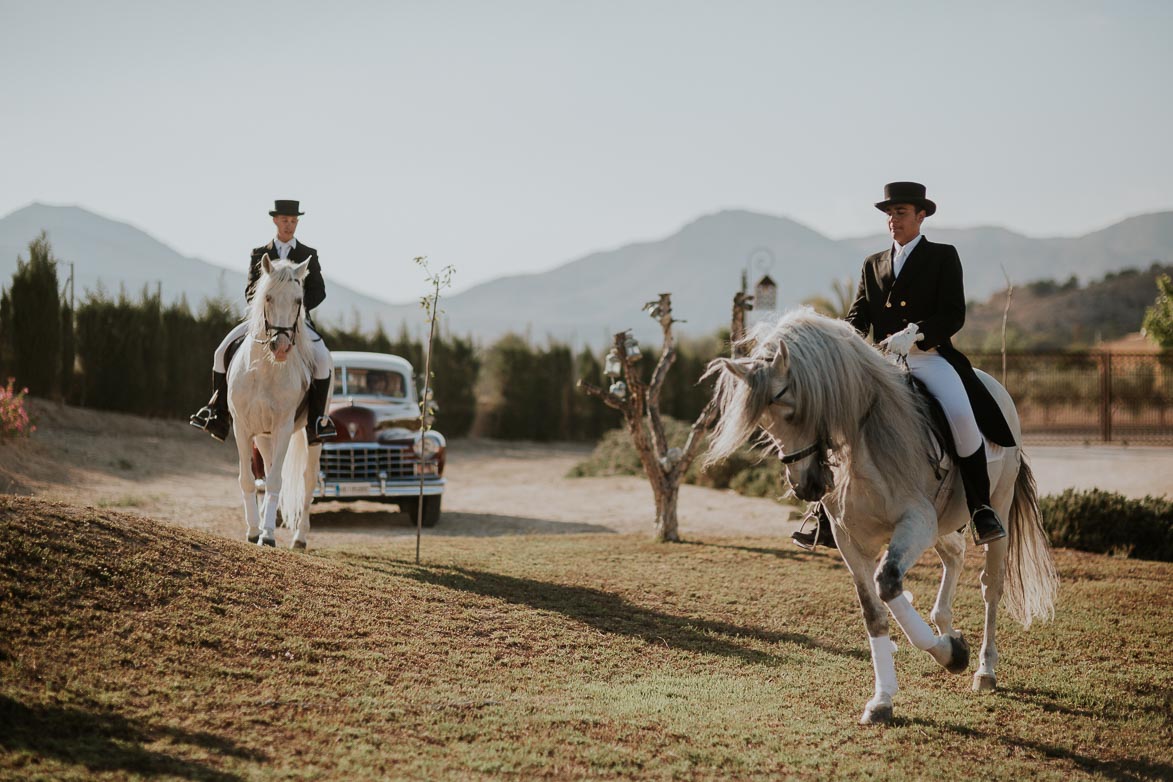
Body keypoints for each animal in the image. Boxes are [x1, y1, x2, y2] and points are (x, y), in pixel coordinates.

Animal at [227, 256, 326, 551]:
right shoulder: (242, 427)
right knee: (269, 467)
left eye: (298, 300)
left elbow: (274, 481)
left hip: (311, 435)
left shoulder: (283, 427)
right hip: (263, 435)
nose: (280, 347)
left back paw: (299, 538)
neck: (265, 369)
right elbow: (249, 480)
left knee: (308, 480)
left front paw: (268, 535)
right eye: (268, 297)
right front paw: (252, 531)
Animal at [699, 309, 1060, 726]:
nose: (807, 487)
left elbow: (888, 583)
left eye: (794, 410)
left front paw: (951, 654)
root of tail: (996, 388)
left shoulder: (916, 522)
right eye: (764, 424)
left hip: (995, 505)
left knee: (991, 585)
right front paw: (884, 697)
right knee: (954, 555)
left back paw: (984, 669)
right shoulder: (851, 540)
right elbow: (874, 610)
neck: (863, 447)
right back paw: (945, 622)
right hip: (942, 521)